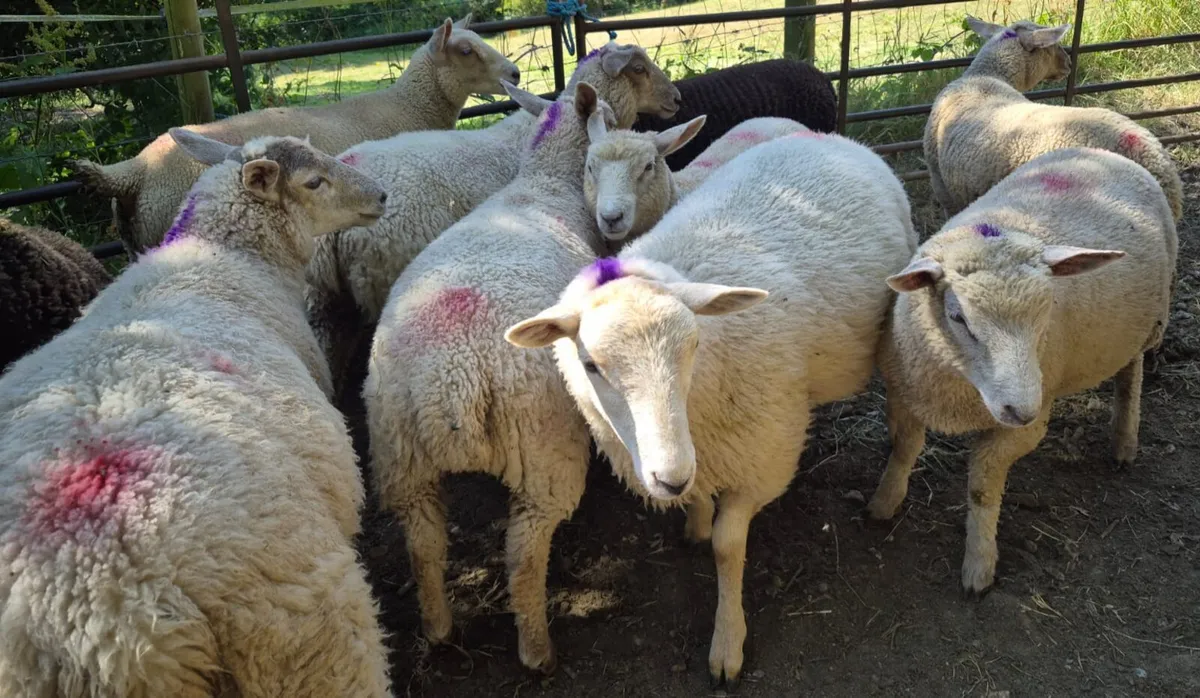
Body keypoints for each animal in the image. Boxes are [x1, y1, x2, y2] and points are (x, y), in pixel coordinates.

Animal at [364, 80, 618, 675]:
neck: (544, 181)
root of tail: (450, 385)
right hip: (544, 450)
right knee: (523, 554)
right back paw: (537, 649)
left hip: (400, 457)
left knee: (423, 546)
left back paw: (438, 629)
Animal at [506, 131, 917, 687]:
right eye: (590, 364)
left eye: (694, 345)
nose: (670, 475)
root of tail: (831, 137)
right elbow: (700, 503)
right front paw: (695, 523)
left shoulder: (764, 456)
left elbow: (727, 547)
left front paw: (727, 646)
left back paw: (888, 490)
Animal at [866, 147, 1177, 596]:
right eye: (958, 317)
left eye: (1046, 313)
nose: (1021, 409)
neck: (962, 389)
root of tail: (1104, 152)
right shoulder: (907, 393)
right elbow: (904, 449)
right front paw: (884, 503)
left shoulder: (1021, 430)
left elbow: (982, 490)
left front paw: (978, 567)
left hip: (1145, 324)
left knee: (1129, 377)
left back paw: (1123, 441)